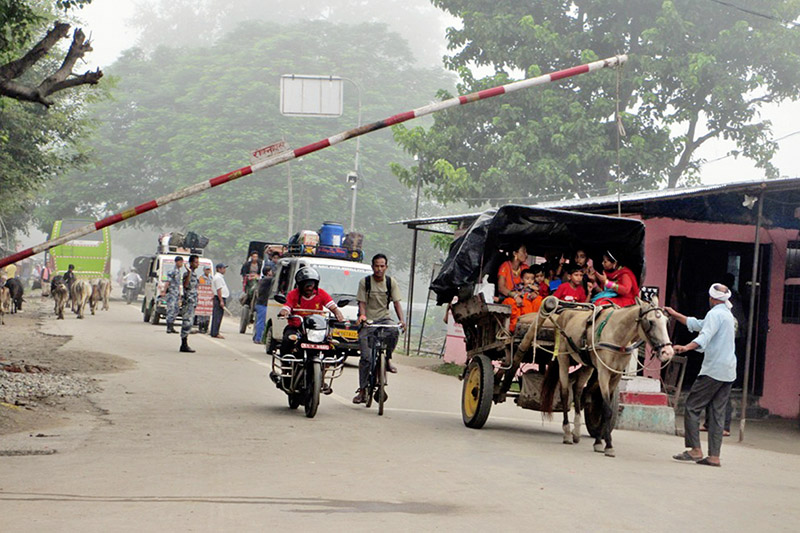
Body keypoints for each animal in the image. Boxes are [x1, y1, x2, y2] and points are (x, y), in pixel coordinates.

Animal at [520, 296, 676, 458]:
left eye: (666, 321)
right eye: (650, 321)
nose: (668, 352)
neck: (617, 335)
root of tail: (565, 312)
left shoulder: (616, 375)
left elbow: (605, 408)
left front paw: (599, 441)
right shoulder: (603, 373)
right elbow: (606, 409)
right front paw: (606, 445)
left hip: (587, 365)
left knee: (577, 390)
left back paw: (576, 431)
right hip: (563, 358)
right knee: (565, 393)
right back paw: (568, 433)